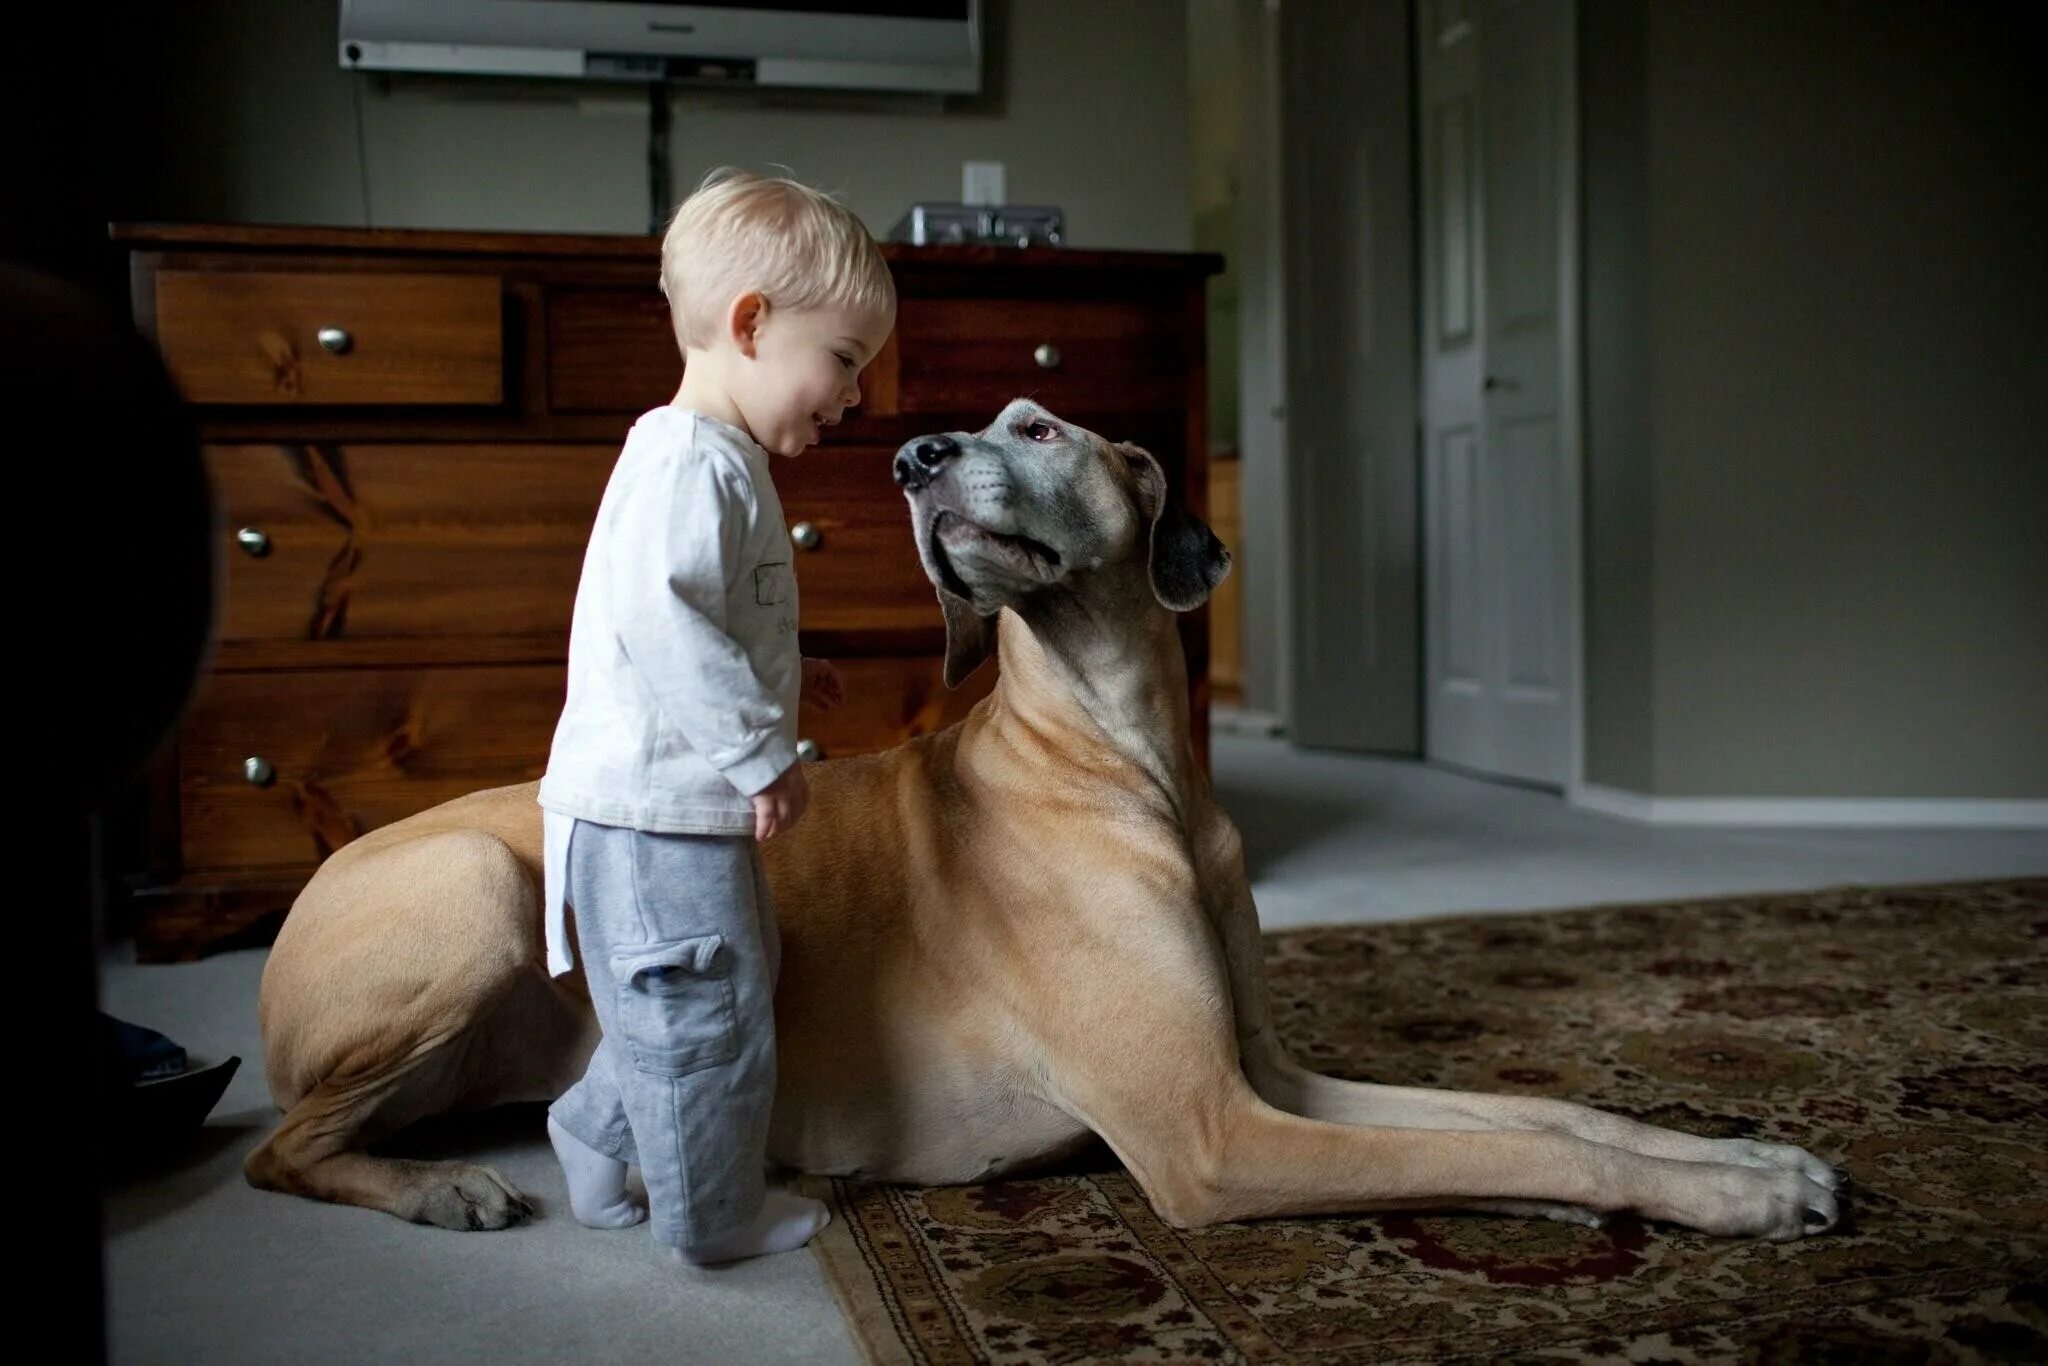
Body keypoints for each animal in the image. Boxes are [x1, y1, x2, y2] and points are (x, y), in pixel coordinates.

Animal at [247, 401, 1851, 1245]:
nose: (912, 454)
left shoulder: (1268, 1074)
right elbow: (1528, 1153)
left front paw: (1747, 1161)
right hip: (468, 882)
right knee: (275, 1148)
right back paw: (438, 1186)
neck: (1122, 762)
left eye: (1034, 424)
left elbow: (1549, 1112)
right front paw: (1713, 1200)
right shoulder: (1210, 1134)